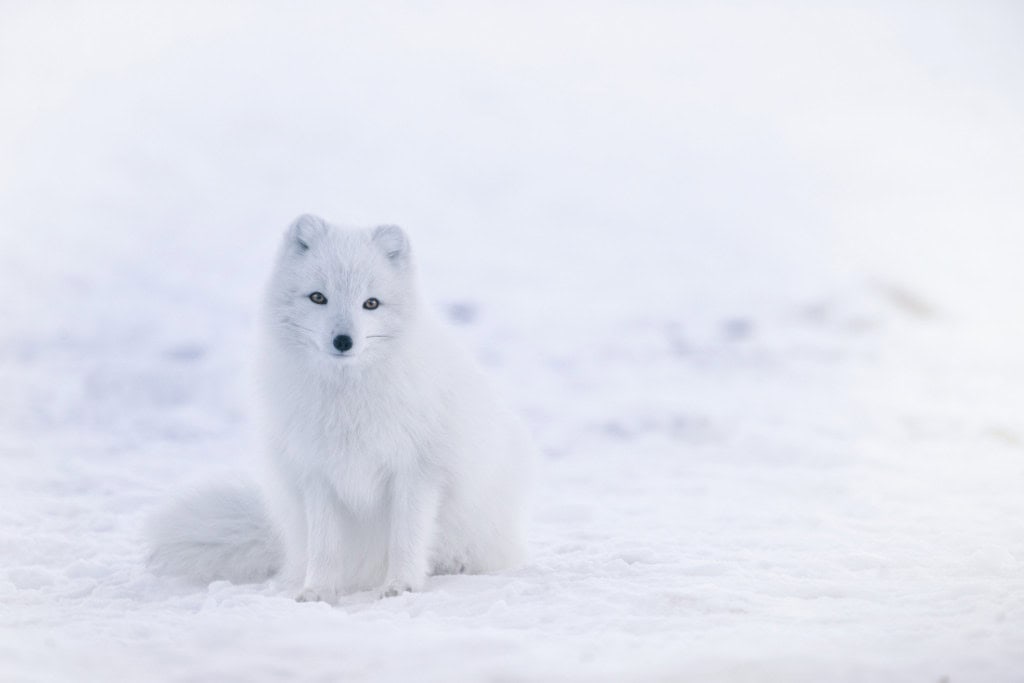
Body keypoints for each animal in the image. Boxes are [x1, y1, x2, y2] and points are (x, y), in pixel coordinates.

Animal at [147, 215, 534, 602]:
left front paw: (401, 586)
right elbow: (325, 546)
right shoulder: (317, 473)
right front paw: (317, 591)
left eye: (371, 303)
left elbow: (406, 538)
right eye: (318, 297)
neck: (347, 400)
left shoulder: (417, 470)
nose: (343, 341)